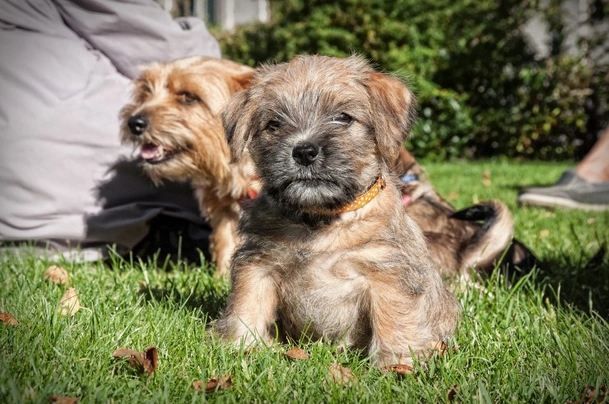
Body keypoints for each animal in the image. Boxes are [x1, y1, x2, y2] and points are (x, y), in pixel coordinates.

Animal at [121, 56, 256, 278]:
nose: (134, 122)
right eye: (146, 92)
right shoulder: (225, 210)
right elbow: (226, 243)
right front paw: (221, 276)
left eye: (189, 97)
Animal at [216, 55, 458, 368]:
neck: (320, 220)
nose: (304, 151)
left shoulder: (387, 271)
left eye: (343, 117)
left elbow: (395, 317)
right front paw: (240, 347)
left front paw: (395, 364)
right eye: (274, 123)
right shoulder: (258, 263)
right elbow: (247, 306)